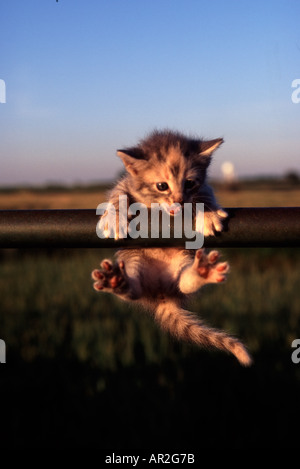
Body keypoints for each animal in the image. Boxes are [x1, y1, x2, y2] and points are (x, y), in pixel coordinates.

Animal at [91, 129, 251, 366]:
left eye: (190, 183)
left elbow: (206, 195)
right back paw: (117, 281)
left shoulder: (203, 188)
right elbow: (117, 194)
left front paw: (209, 214)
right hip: (132, 259)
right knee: (133, 289)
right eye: (162, 186)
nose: (179, 201)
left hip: (184, 259)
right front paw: (114, 216)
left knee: (184, 283)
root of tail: (161, 295)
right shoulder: (126, 183)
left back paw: (201, 272)